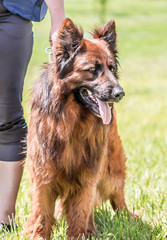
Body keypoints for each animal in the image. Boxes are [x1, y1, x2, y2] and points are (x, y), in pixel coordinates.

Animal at [26, 17, 130, 239]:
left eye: (111, 68)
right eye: (92, 69)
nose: (120, 93)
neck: (72, 124)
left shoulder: (87, 175)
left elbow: (80, 211)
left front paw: (80, 234)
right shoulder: (43, 174)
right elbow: (41, 213)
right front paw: (38, 234)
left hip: (112, 169)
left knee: (118, 196)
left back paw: (128, 217)